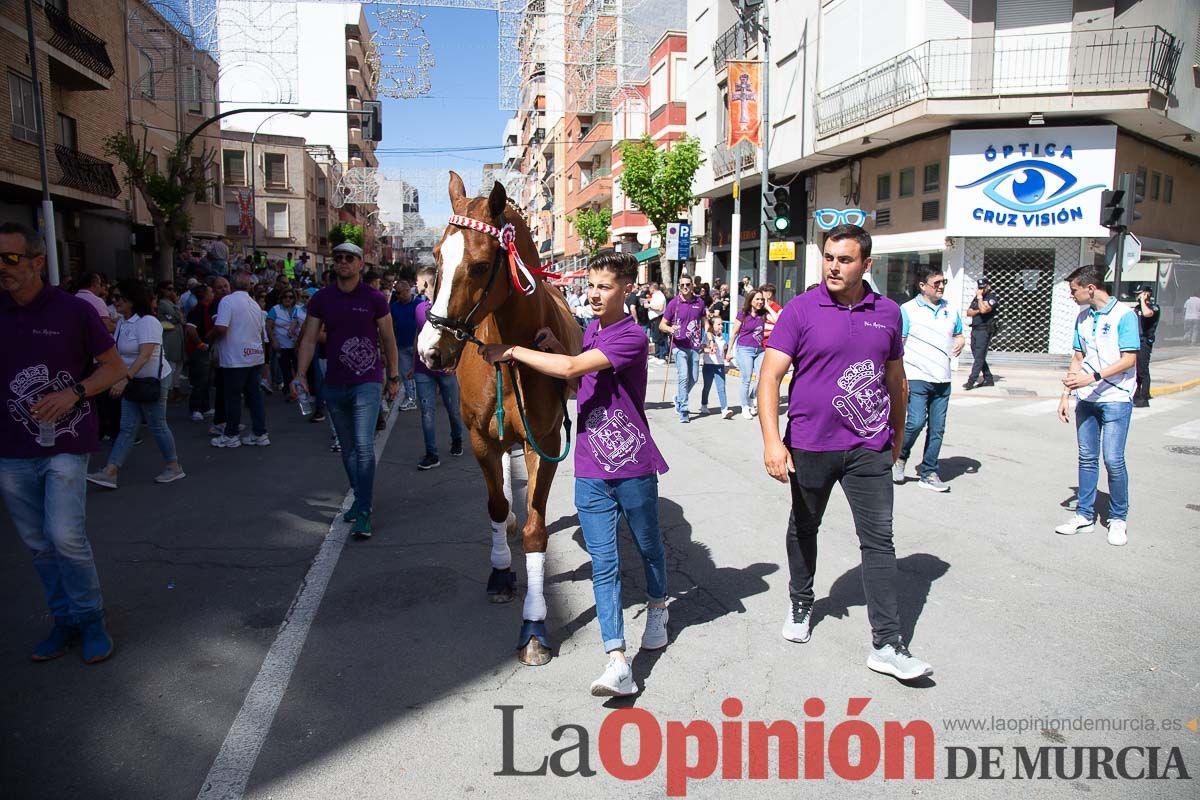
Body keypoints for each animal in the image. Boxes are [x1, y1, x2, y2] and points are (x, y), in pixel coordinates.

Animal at [417, 173, 580, 671]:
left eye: (480, 266)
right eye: (436, 257)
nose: (429, 350)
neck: (511, 351)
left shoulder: (544, 442)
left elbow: (535, 530)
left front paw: (534, 627)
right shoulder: (479, 439)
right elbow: (493, 505)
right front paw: (501, 573)